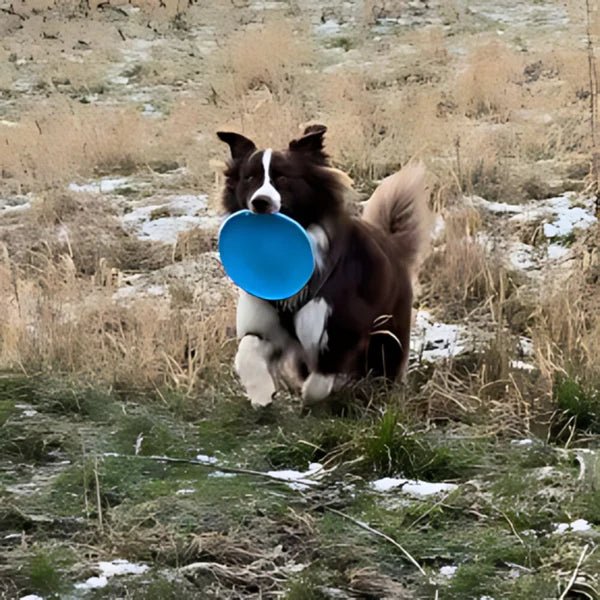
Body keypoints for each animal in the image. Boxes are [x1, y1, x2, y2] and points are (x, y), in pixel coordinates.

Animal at [216, 125, 432, 410]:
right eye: (249, 178)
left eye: (283, 178)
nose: (260, 202)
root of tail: (390, 243)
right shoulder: (267, 323)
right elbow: (247, 349)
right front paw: (261, 393)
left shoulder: (342, 326)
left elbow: (321, 378)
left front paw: (313, 397)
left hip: (388, 336)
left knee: (382, 366)